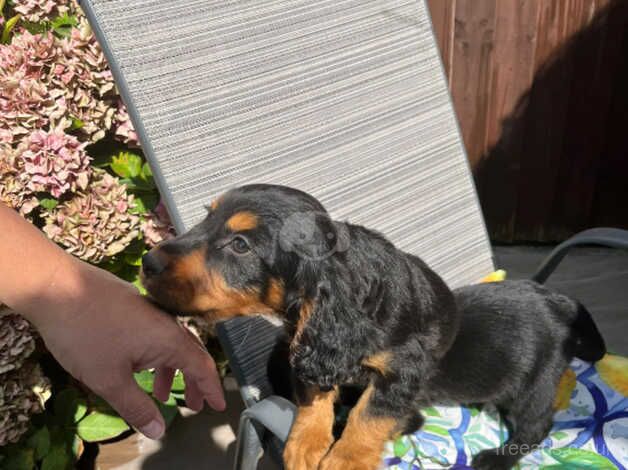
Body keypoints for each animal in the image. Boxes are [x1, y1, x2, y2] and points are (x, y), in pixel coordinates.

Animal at [141, 185, 604, 470]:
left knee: (537, 425)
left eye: (240, 246)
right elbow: (313, 394)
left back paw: (496, 455)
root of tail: (557, 301)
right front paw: (306, 443)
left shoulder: (404, 371)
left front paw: (345, 458)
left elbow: (369, 414)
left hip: (535, 385)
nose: (146, 263)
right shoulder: (307, 345)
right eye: (206, 220)